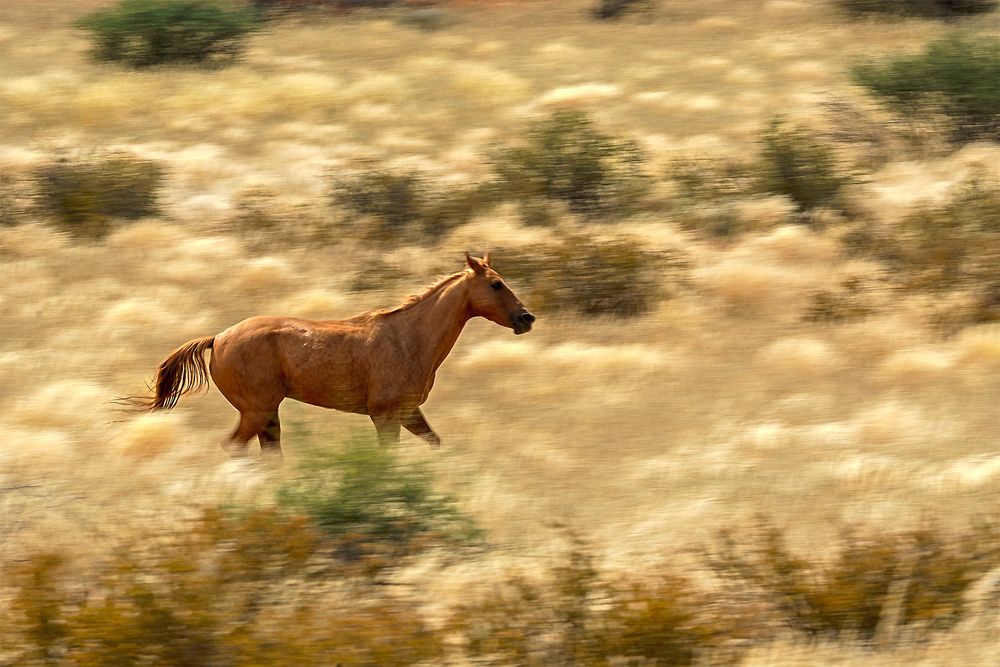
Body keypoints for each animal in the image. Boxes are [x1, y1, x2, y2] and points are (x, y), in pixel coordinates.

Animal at [139, 253, 540, 456]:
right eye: (496, 284)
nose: (526, 318)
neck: (408, 339)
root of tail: (219, 338)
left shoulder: (409, 413)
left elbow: (435, 443)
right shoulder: (385, 416)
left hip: (267, 415)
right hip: (256, 411)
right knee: (235, 448)